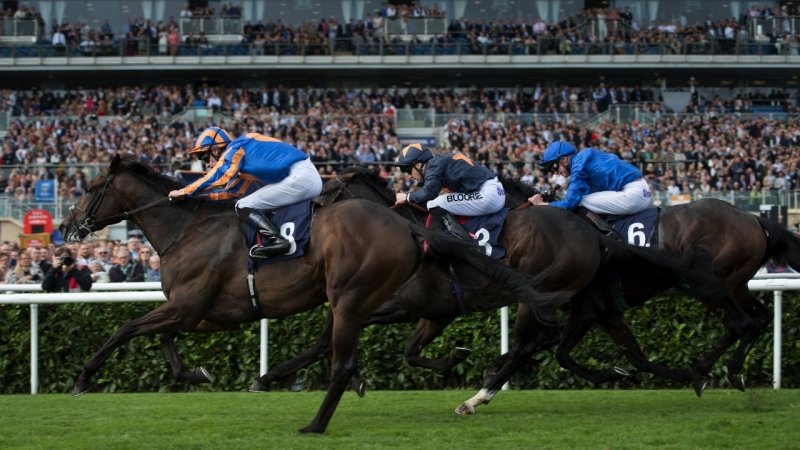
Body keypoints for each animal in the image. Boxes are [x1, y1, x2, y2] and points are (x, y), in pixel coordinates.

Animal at [57, 154, 547, 434]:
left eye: (88, 188)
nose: (65, 226)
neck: (187, 229)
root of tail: (406, 226)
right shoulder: (199, 312)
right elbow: (162, 340)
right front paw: (197, 373)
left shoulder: (187, 306)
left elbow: (124, 329)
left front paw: (82, 380)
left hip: (351, 296)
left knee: (340, 358)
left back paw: (317, 422)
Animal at [247, 166, 720, 396]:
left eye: (324, 197)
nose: (307, 231)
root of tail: (590, 232)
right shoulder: (434, 312)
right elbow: (410, 352)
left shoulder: (394, 304)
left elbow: (328, 340)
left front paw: (270, 378)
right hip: (576, 301)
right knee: (587, 343)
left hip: (543, 294)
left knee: (543, 339)